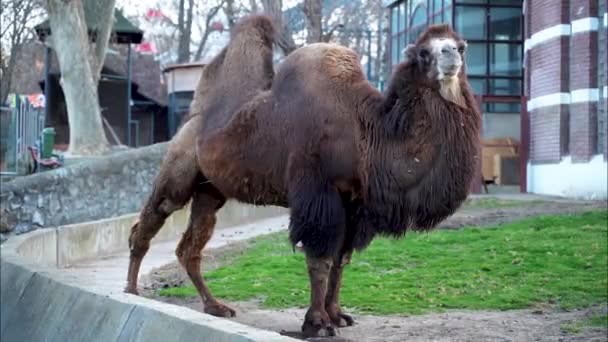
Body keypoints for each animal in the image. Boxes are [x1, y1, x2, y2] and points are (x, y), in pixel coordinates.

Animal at [126, 15, 482, 336]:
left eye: (462, 45)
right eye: (424, 52)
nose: (450, 54)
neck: (366, 132)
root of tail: (191, 119)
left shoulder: (355, 203)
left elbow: (342, 259)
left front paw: (337, 314)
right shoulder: (317, 193)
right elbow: (320, 259)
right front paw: (318, 323)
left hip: (211, 190)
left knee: (190, 245)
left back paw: (215, 306)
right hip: (179, 168)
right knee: (153, 216)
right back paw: (131, 290)